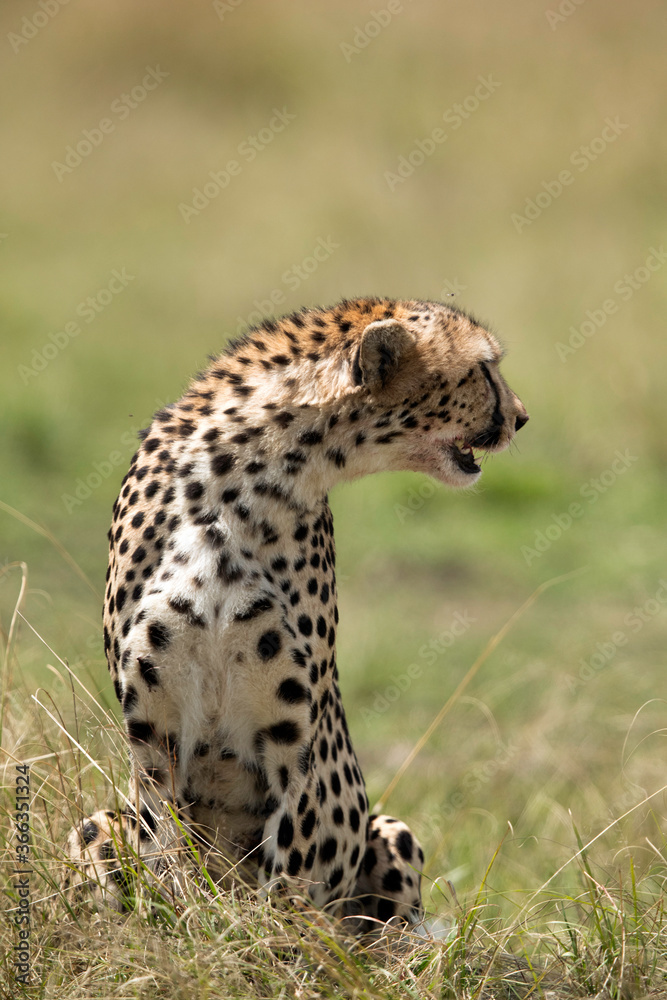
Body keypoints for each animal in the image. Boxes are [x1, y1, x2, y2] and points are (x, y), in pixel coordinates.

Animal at [65, 296, 528, 930]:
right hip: (96, 823)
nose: (522, 417)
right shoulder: (152, 730)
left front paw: (276, 936)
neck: (248, 476)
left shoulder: (294, 733)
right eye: (484, 368)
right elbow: (166, 849)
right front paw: (187, 921)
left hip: (392, 832)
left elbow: (292, 856)